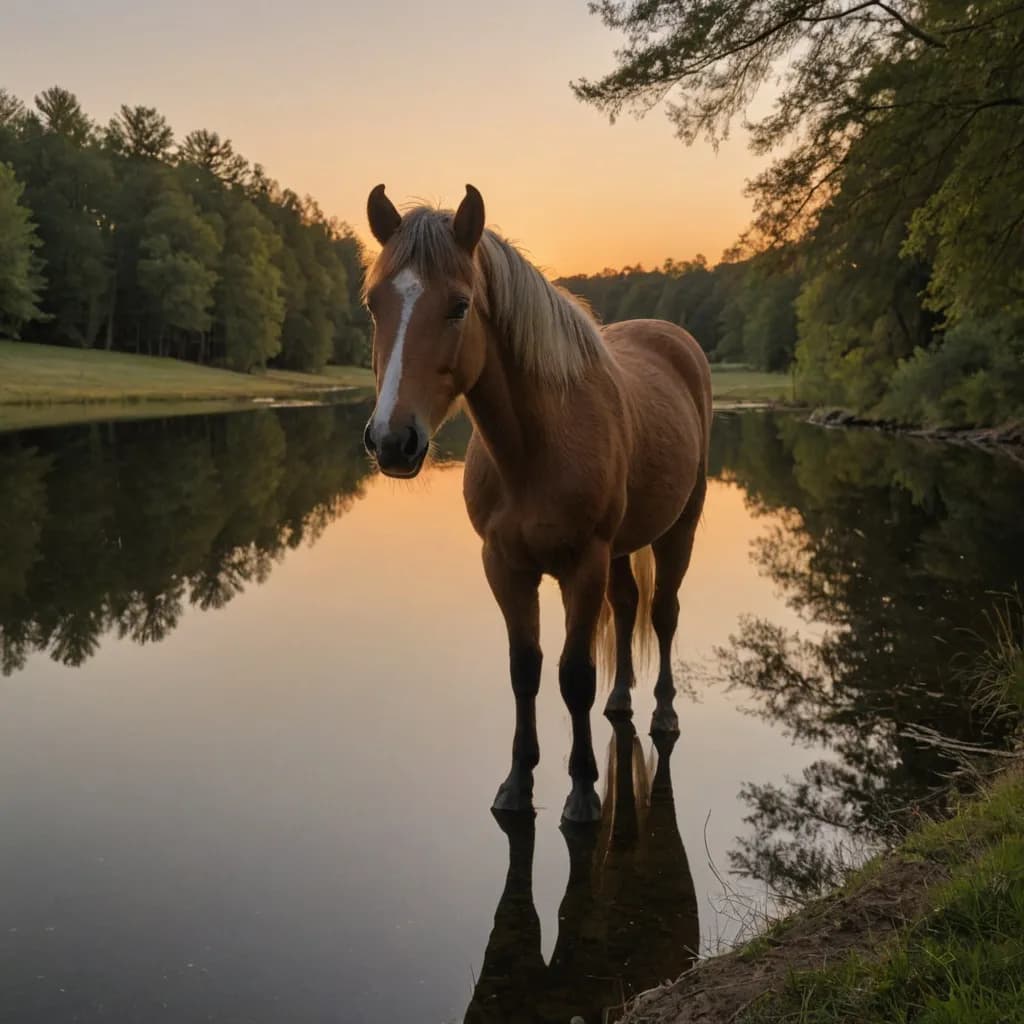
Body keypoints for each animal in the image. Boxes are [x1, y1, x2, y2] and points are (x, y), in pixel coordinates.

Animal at [362, 184, 712, 822]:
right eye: (376, 304)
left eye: (459, 306)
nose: (392, 440)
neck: (536, 450)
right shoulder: (505, 567)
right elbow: (524, 669)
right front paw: (517, 782)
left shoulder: (582, 566)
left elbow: (574, 676)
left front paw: (583, 789)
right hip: (621, 549)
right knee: (628, 607)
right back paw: (621, 700)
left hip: (680, 528)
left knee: (663, 613)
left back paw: (663, 713)